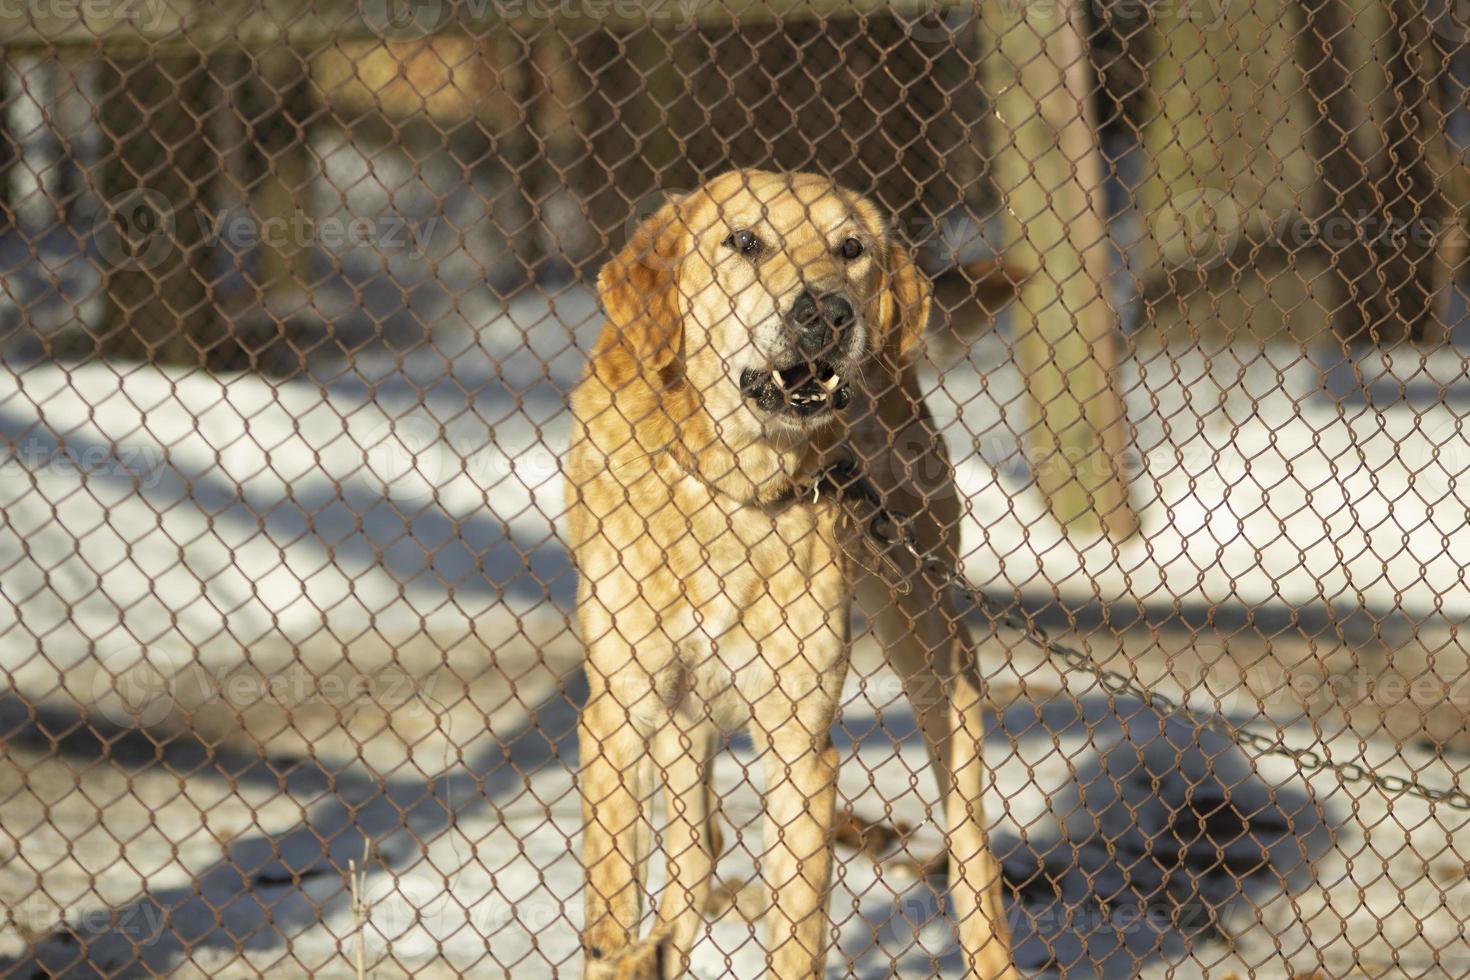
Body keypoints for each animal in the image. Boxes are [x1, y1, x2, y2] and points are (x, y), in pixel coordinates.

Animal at [567, 172, 1017, 975]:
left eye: (852, 248)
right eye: (744, 240)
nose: (829, 312)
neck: (737, 488)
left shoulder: (801, 747)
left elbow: (797, 942)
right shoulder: (618, 716)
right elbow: (615, 914)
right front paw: (626, 949)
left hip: (933, 649)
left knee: (973, 851)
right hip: (679, 722)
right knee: (694, 856)